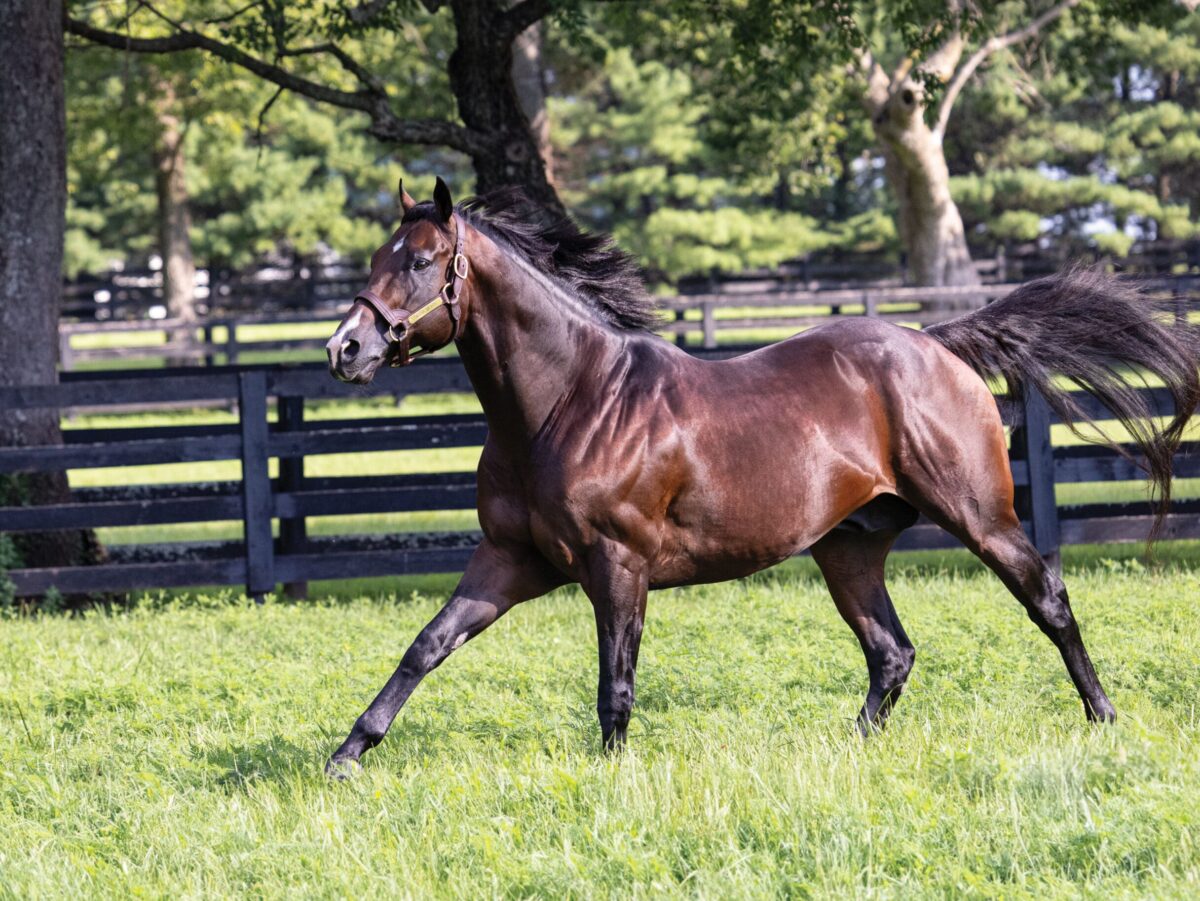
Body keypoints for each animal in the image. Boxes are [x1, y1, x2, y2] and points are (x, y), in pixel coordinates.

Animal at [321, 176, 1200, 777]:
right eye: (375, 258)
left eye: (423, 261)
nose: (344, 349)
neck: (569, 402)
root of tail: (937, 343)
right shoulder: (510, 558)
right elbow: (426, 645)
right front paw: (346, 755)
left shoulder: (617, 566)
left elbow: (615, 683)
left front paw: (612, 775)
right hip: (848, 548)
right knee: (892, 651)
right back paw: (849, 750)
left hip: (979, 515)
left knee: (1046, 597)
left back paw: (1104, 716)